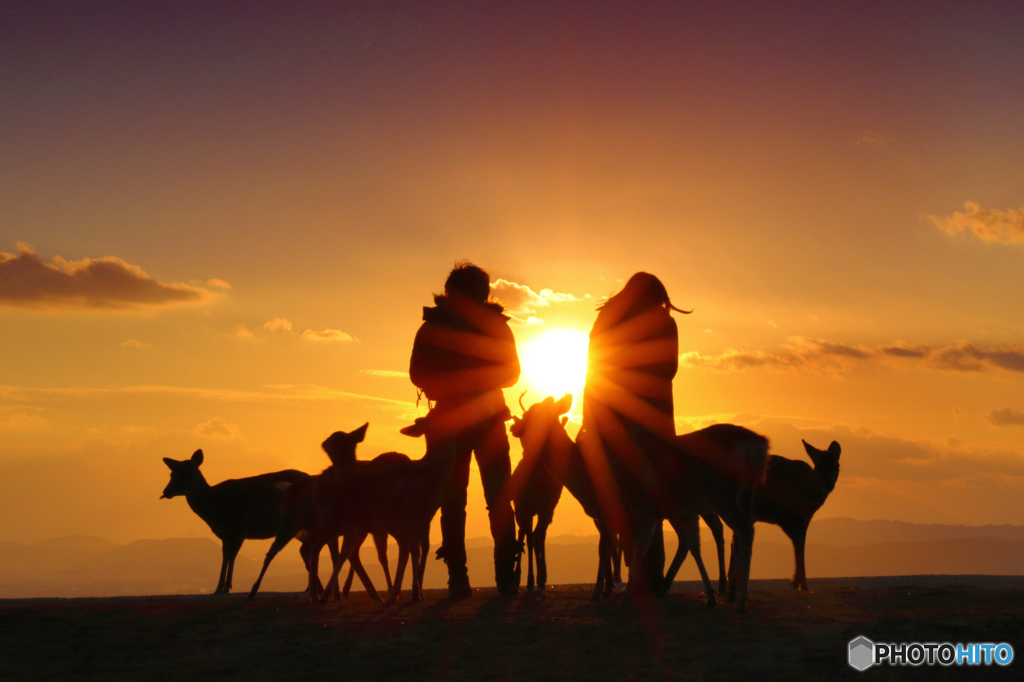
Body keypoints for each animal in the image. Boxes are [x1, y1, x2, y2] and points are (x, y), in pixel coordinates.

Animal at [159, 448, 307, 593]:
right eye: (171, 474)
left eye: (184, 473)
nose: (166, 492)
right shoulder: (225, 534)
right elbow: (224, 556)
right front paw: (218, 588)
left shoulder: (239, 528)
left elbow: (232, 555)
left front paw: (227, 587)